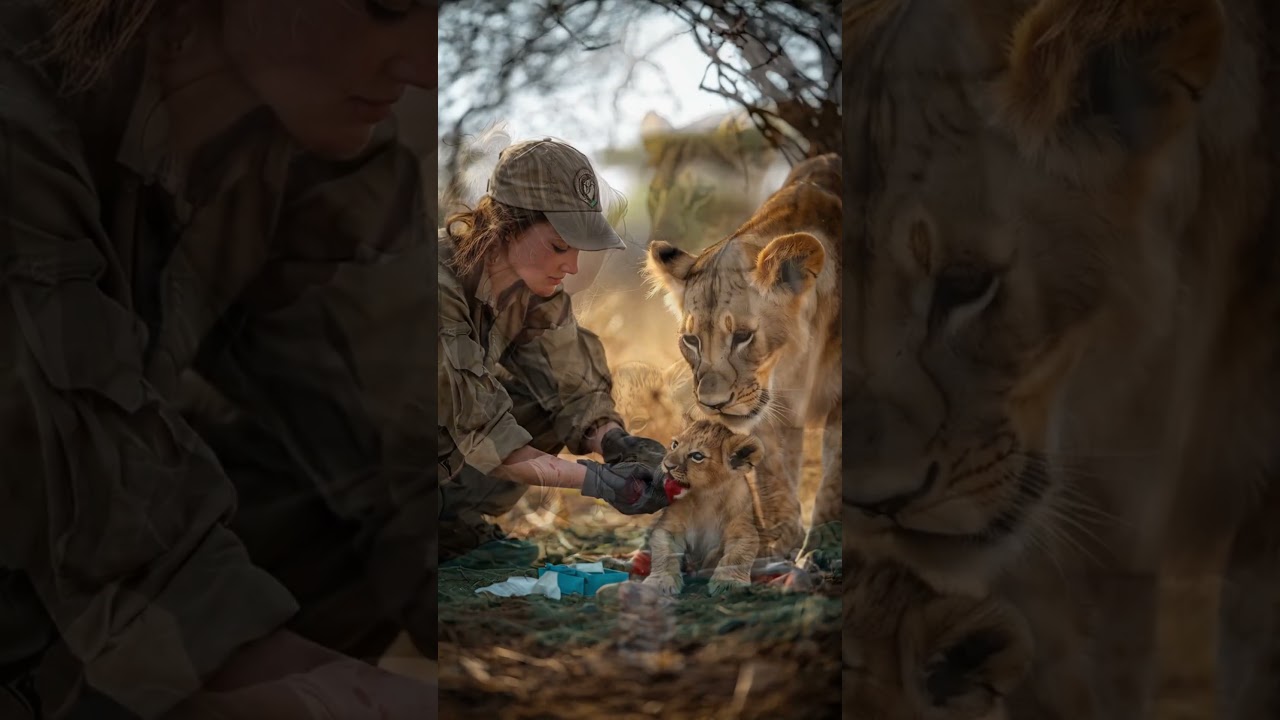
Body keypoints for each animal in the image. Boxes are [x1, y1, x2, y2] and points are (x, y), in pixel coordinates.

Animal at [644, 153, 842, 570]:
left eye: (743, 336)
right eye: (691, 340)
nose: (713, 404)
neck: (798, 364)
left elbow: (835, 478)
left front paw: (824, 547)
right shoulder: (767, 409)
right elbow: (772, 475)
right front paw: (776, 544)